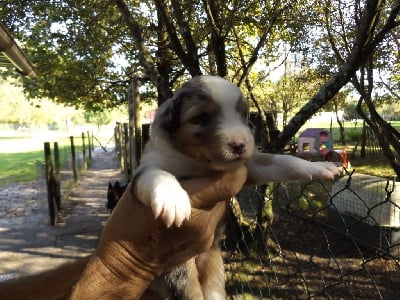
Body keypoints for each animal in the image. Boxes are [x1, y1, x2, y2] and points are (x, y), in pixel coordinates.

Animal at [133, 75, 340, 298]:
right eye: (201, 118)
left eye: (244, 114)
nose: (239, 145)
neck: (198, 164)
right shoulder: (147, 167)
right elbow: (157, 174)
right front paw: (172, 198)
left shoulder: (251, 166)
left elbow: (284, 161)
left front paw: (319, 167)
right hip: (177, 270)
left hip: (213, 265)